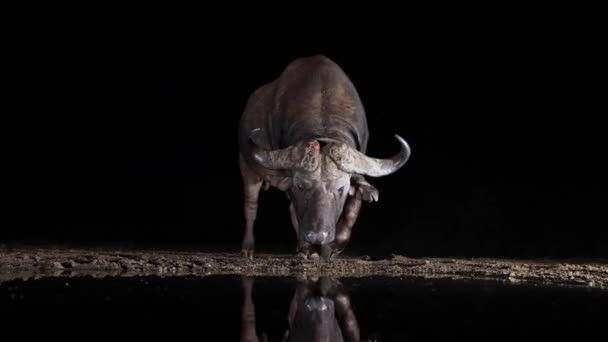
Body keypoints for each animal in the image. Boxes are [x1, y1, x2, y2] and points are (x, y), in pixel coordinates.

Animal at [240, 55, 410, 260]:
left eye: (340, 189)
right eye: (301, 186)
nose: (317, 236)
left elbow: (352, 210)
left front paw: (332, 246)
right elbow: (296, 213)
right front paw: (309, 248)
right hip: (247, 168)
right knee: (251, 206)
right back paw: (248, 249)